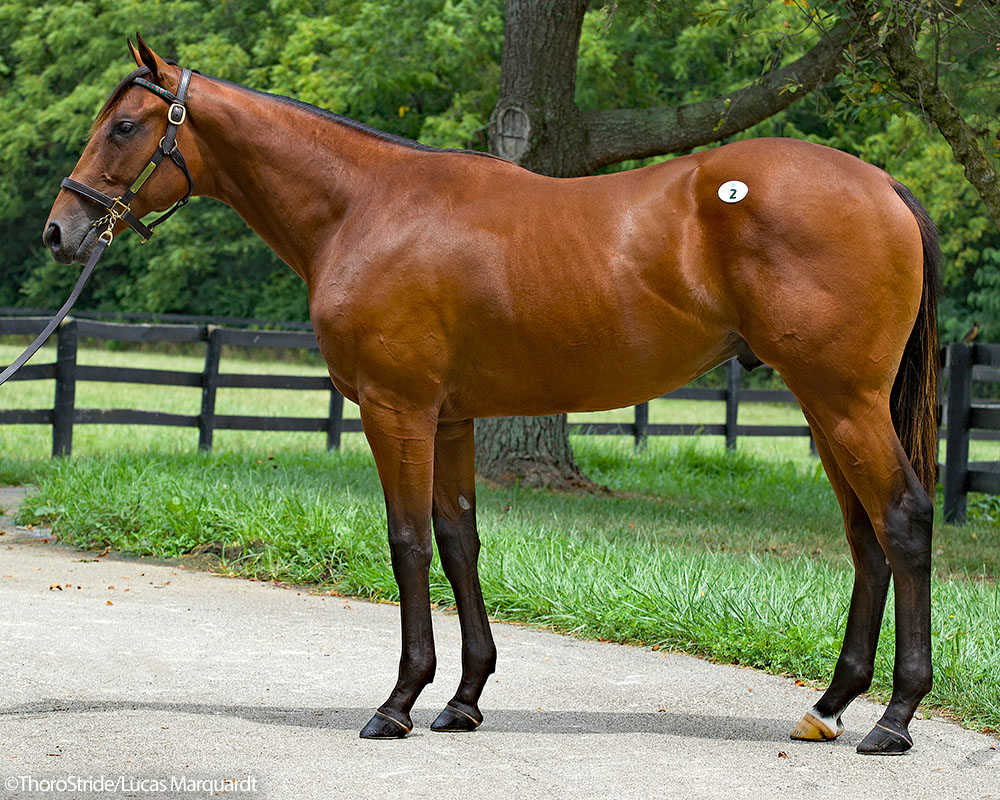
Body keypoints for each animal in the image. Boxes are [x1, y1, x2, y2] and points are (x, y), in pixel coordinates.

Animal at [45, 37, 936, 752]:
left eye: (123, 126)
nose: (61, 230)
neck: (366, 205)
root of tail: (884, 185)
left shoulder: (396, 409)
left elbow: (407, 543)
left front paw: (399, 702)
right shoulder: (450, 419)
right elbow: (458, 541)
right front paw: (464, 700)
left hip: (844, 399)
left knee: (901, 519)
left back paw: (894, 719)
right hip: (824, 405)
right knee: (864, 536)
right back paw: (828, 706)